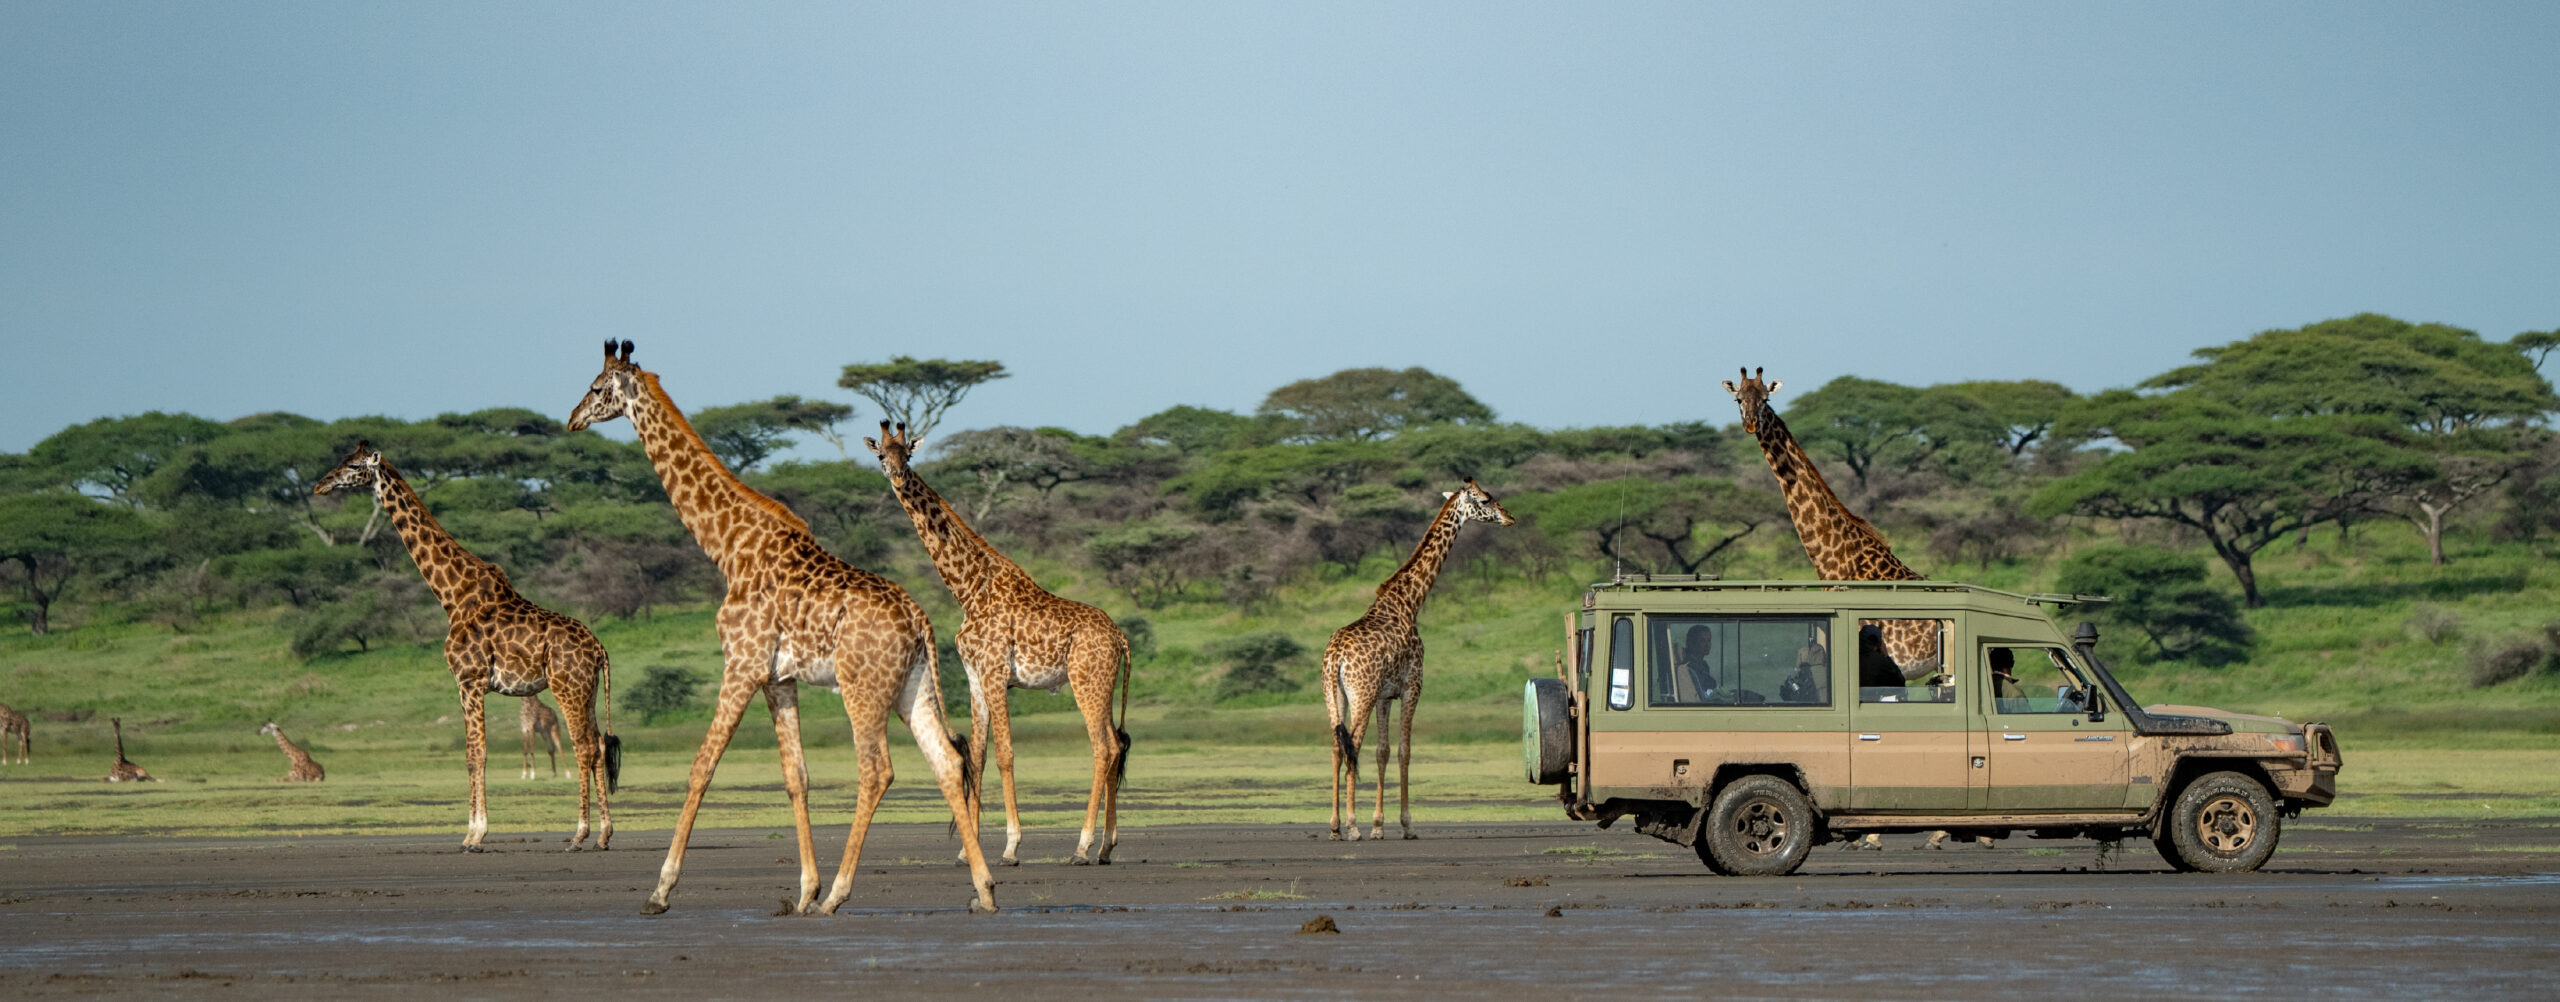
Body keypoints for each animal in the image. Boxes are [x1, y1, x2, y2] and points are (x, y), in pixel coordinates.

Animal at [313, 443, 620, 851]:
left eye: (351, 465)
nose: (320, 485)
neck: (452, 595)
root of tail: (599, 648)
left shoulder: (469, 679)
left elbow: (476, 755)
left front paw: (474, 834)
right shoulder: (469, 683)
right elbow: (474, 754)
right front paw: (474, 830)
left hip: (566, 687)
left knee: (583, 746)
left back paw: (579, 834)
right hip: (587, 690)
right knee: (599, 746)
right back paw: (603, 834)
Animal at [567, 340, 996, 916]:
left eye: (596, 387)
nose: (572, 419)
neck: (728, 548)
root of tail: (920, 619)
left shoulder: (741, 665)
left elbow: (701, 767)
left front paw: (660, 890)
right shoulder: (779, 679)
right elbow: (797, 777)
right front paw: (803, 889)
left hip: (862, 688)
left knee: (876, 770)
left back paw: (839, 894)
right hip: (913, 686)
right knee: (947, 763)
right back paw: (984, 890)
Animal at [866, 420, 1132, 867]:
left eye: (909, 453)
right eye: (883, 456)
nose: (899, 477)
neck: (969, 589)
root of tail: (1121, 637)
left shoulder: (994, 671)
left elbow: (1006, 753)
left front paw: (1010, 846)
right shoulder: (975, 676)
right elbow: (978, 754)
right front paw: (965, 850)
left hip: (1086, 682)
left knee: (1105, 748)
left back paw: (1082, 846)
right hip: (1104, 684)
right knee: (1115, 746)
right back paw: (1107, 847)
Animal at [1325, 480, 1515, 841]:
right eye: (1485, 500)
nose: (1510, 517)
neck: (1410, 602)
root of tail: (1336, 658)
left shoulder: (1386, 695)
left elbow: (1383, 751)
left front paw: (1378, 826)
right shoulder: (1413, 686)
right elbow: (1405, 751)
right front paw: (1406, 825)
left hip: (1334, 695)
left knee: (1336, 747)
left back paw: (1335, 826)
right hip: (1360, 693)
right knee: (1352, 743)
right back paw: (1351, 827)